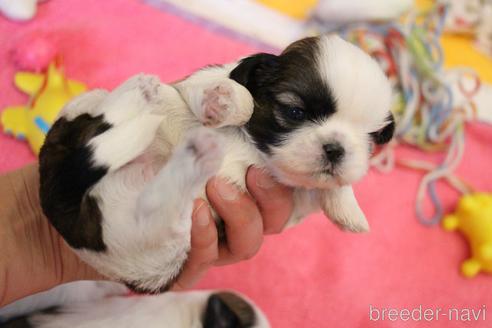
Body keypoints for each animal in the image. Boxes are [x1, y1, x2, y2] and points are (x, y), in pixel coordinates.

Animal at [36, 34, 394, 294]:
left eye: (370, 137)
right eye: (295, 112)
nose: (335, 149)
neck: (256, 150)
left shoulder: (295, 201)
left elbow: (326, 185)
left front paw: (348, 211)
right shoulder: (196, 82)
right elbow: (238, 98)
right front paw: (223, 103)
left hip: (163, 242)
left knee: (153, 202)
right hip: (83, 113)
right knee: (99, 116)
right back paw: (138, 94)